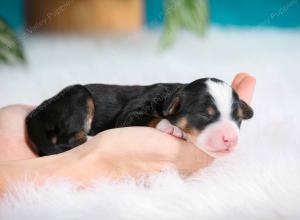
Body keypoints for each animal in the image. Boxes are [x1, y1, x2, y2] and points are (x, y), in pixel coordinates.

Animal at [25, 77, 253, 156]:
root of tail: (39, 110)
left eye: (238, 118)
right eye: (204, 115)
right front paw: (171, 127)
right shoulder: (128, 115)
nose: (230, 139)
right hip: (79, 95)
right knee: (71, 138)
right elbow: (151, 118)